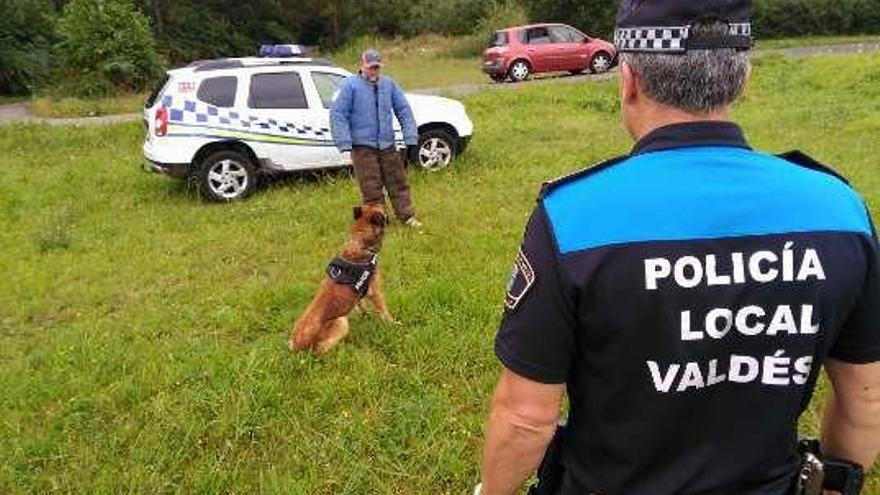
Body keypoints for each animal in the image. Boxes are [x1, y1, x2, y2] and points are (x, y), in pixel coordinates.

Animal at [288, 203, 392, 354]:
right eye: (383, 209)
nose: (385, 204)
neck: (358, 242)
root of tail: (296, 345)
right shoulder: (375, 292)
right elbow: (384, 311)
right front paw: (393, 323)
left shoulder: (361, 293)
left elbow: (362, 306)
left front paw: (366, 315)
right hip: (341, 321)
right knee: (321, 350)